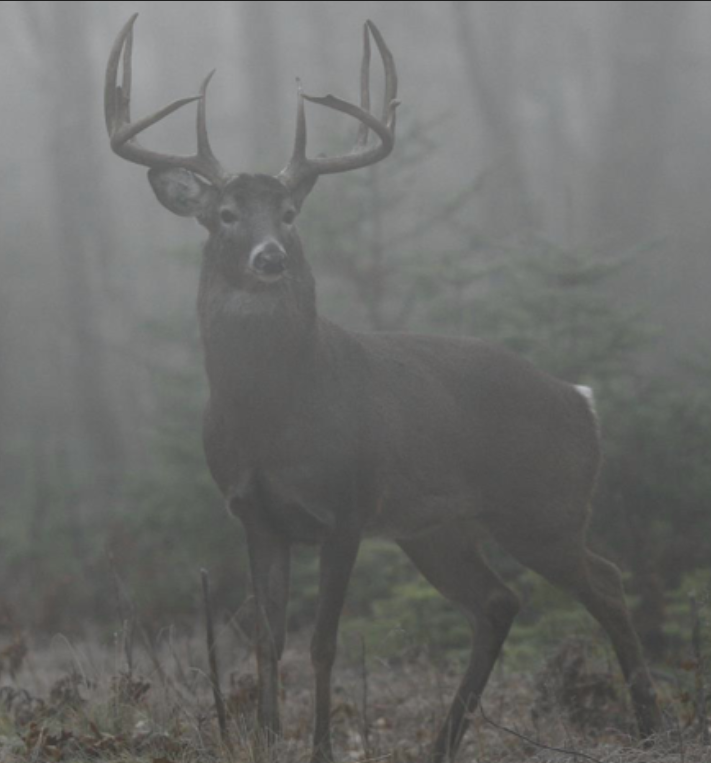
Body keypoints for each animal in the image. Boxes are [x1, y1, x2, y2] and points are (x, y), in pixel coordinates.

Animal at [105, 15, 662, 763]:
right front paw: (266, 739)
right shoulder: (255, 513)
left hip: (543, 505)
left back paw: (650, 726)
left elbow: (322, 641)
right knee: (499, 601)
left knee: (605, 582)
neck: (267, 414)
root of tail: (582, 400)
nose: (269, 257)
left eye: (289, 212)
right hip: (437, 527)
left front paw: (318, 747)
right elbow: (267, 638)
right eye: (224, 213)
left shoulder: (345, 506)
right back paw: (442, 742)